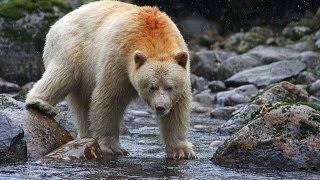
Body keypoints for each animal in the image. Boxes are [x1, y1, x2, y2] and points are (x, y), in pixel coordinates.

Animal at [26, 0, 195, 158]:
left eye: (169, 87)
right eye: (151, 87)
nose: (160, 107)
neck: (154, 36)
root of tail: (57, 23)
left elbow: (177, 111)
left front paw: (182, 151)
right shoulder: (118, 57)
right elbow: (109, 98)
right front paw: (112, 147)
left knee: (81, 103)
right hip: (73, 47)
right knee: (63, 73)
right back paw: (41, 104)